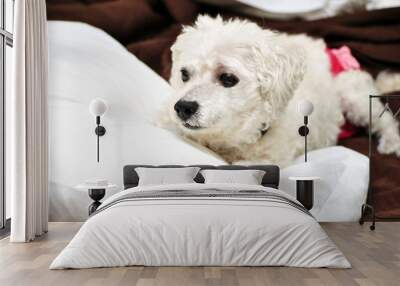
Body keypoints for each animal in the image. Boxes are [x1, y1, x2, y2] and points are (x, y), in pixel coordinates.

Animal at [159, 15, 400, 166]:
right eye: (184, 74)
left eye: (228, 78)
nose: (182, 107)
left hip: (353, 97)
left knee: (385, 119)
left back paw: (391, 143)